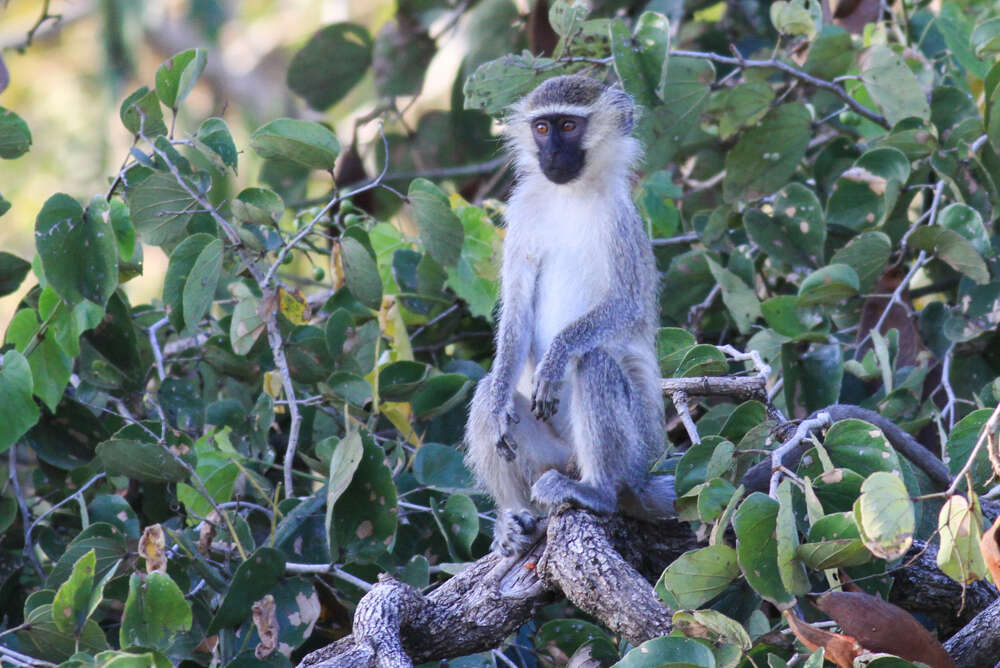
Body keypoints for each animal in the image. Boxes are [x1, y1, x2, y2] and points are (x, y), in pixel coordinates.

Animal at [464, 73, 676, 556]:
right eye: (542, 128)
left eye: (569, 126)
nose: (552, 156)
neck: (569, 195)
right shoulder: (522, 212)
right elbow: (517, 313)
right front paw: (503, 396)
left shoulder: (622, 222)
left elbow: (627, 304)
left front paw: (556, 358)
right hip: (552, 456)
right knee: (487, 395)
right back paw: (513, 516)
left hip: (637, 453)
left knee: (595, 363)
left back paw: (595, 491)